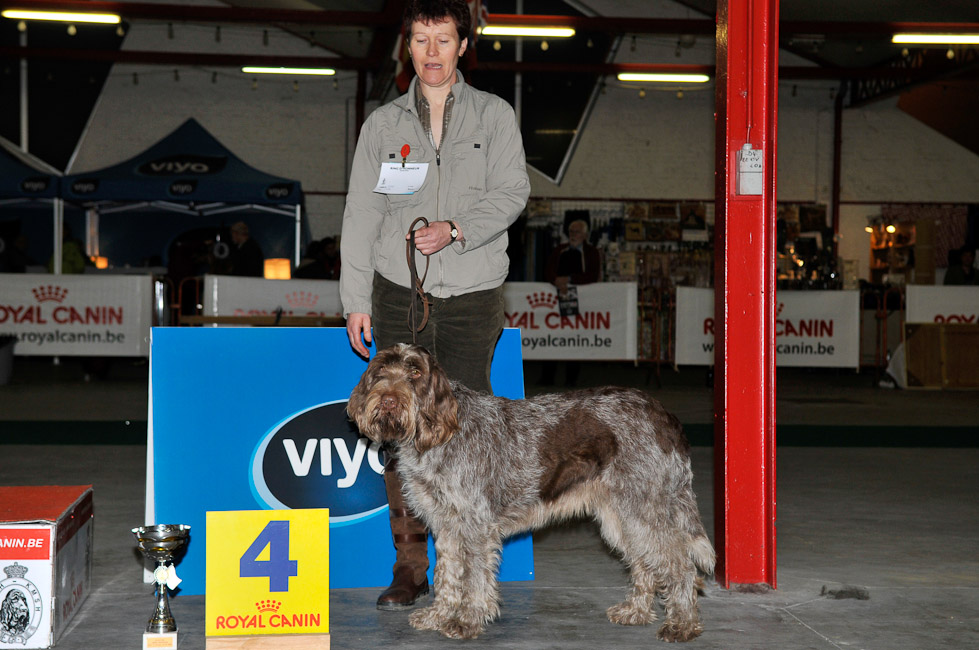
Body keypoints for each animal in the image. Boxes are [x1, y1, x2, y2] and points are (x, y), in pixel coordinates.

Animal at [348, 342, 716, 640]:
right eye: (380, 372)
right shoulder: (447, 526)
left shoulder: (475, 526)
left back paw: (682, 625)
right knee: (645, 563)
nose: (389, 401)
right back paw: (636, 612)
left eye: (415, 372)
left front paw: (466, 621)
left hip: (645, 509)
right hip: (622, 516)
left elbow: (473, 578)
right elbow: (448, 574)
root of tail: (662, 414)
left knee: (681, 567)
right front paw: (440, 615)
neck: (438, 434)